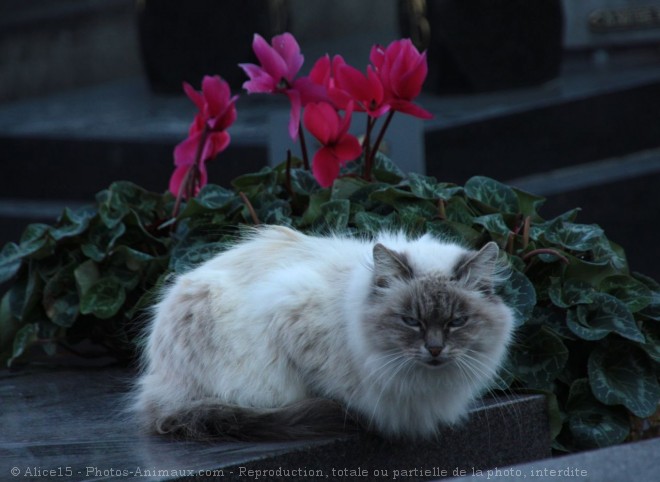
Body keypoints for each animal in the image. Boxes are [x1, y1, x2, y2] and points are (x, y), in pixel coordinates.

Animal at [133, 226, 516, 440]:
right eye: (411, 321)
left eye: (456, 321)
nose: (435, 350)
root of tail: (156, 382)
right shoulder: (288, 307)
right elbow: (323, 387)